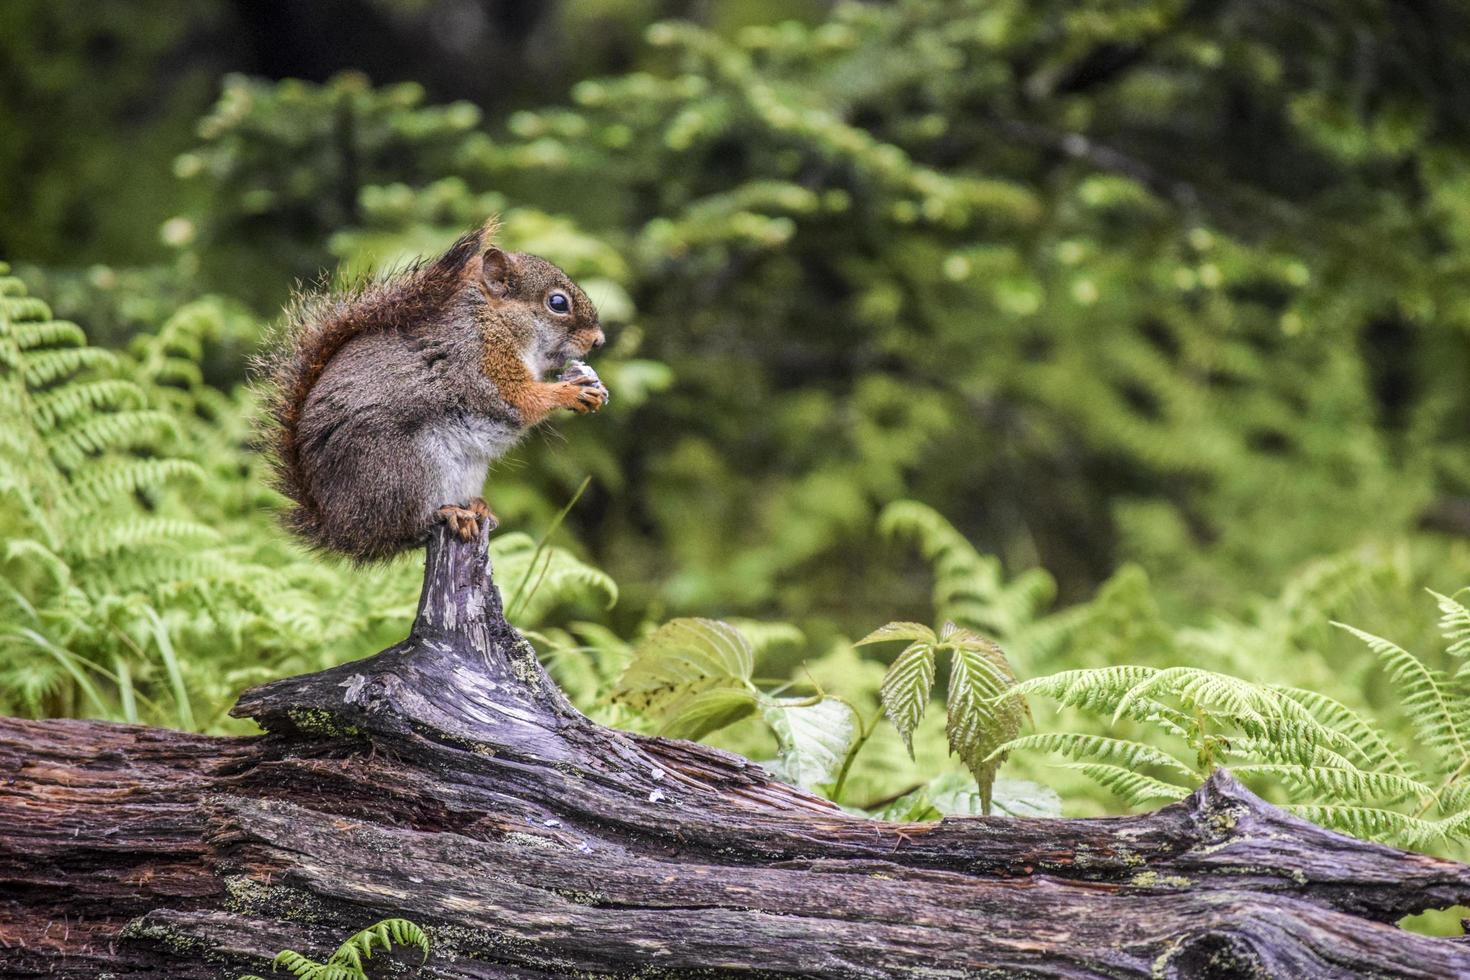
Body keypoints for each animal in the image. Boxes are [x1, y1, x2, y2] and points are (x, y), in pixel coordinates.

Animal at [260, 218, 608, 564]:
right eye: (558, 303)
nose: (598, 340)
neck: (494, 319)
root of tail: (342, 528)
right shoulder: (479, 362)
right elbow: (519, 398)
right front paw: (572, 392)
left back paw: (476, 506)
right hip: (407, 468)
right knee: (411, 525)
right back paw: (449, 512)